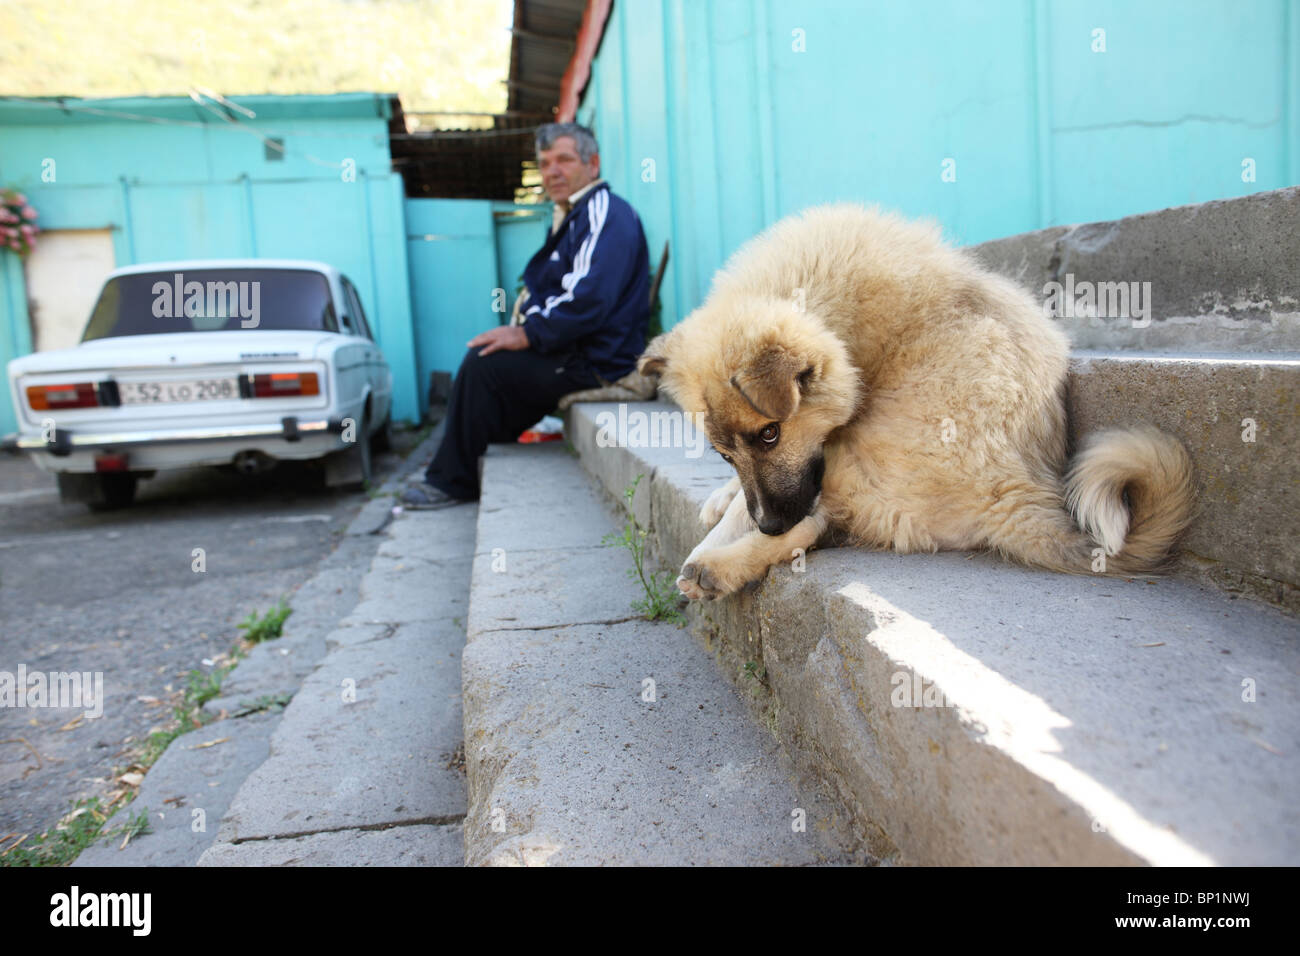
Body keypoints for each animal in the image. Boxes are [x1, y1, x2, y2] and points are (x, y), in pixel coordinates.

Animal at [634, 205, 1190, 600]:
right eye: (723, 454)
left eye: (771, 434)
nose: (769, 522)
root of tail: (1016, 496)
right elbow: (743, 499)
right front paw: (722, 496)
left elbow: (766, 512)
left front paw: (719, 535)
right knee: (825, 524)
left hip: (860, 455)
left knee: (819, 520)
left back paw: (715, 567)